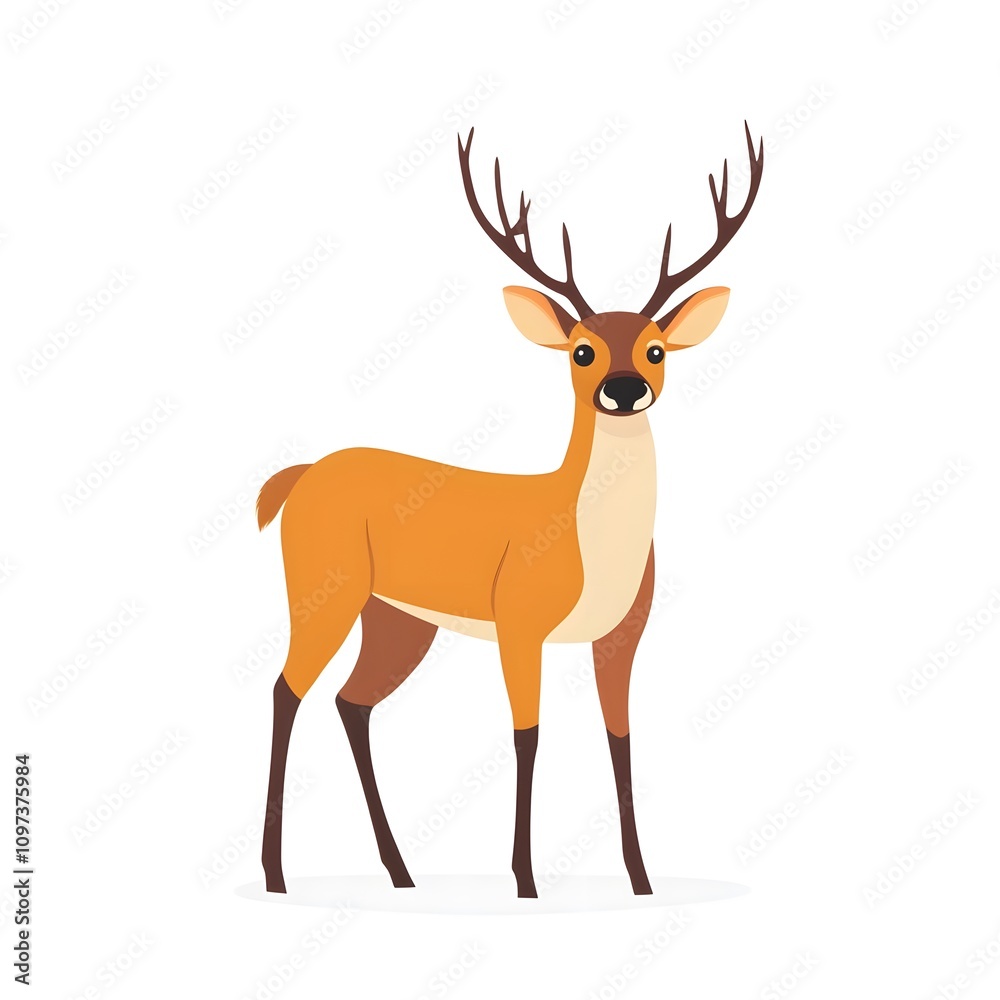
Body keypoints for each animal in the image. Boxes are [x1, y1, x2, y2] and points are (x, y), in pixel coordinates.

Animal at [258, 124, 764, 898]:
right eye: (582, 351)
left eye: (655, 349)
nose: (624, 388)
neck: (589, 538)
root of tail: (300, 477)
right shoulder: (518, 623)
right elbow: (527, 736)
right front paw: (526, 880)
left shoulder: (623, 635)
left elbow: (620, 740)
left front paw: (641, 881)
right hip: (324, 587)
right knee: (286, 690)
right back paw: (277, 874)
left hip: (397, 619)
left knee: (352, 701)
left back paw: (402, 872)